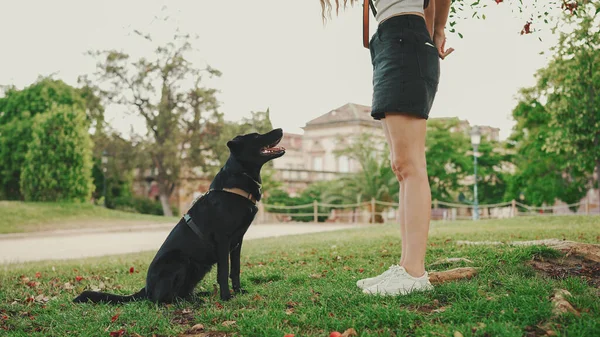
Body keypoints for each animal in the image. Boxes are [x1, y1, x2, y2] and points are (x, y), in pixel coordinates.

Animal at [73, 128, 286, 302]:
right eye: (257, 136)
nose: (281, 129)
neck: (237, 180)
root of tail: (146, 289)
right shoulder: (223, 240)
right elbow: (224, 271)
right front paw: (226, 297)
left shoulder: (237, 241)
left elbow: (235, 270)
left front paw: (238, 291)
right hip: (181, 261)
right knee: (162, 299)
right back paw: (193, 301)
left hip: (198, 269)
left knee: (181, 292)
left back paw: (199, 295)